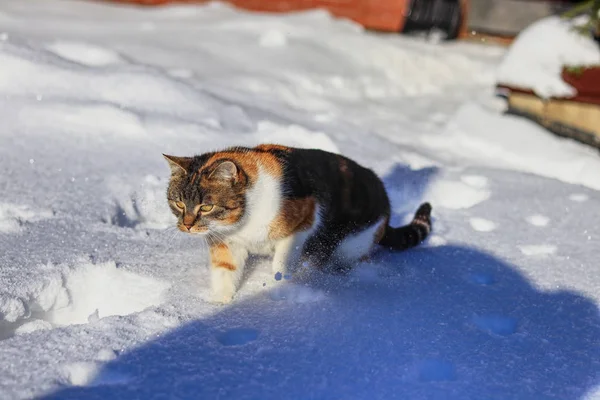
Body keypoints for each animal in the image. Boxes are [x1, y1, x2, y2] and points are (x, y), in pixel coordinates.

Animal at [165, 145, 432, 304]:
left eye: (206, 207)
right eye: (178, 203)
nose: (187, 225)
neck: (244, 220)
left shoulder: (305, 222)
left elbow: (281, 264)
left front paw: (281, 289)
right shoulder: (227, 242)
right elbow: (224, 271)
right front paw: (219, 305)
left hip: (352, 244)